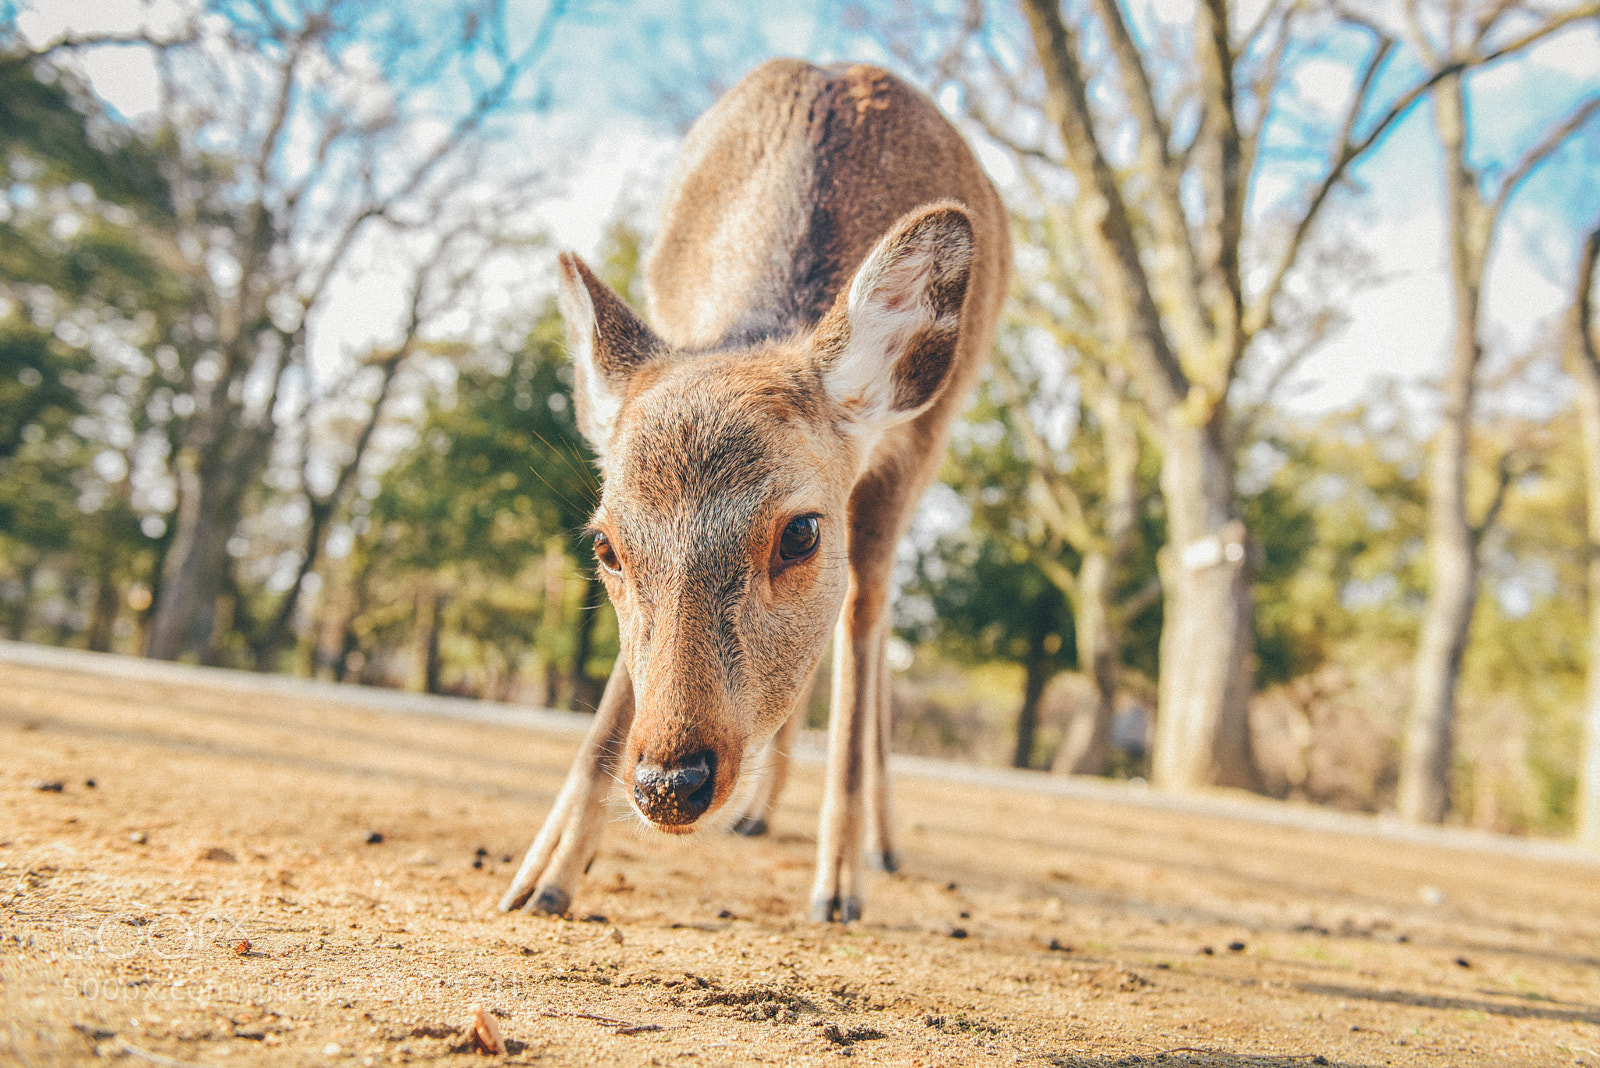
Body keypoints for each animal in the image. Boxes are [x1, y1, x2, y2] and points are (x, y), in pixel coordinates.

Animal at [499, 58, 1009, 923]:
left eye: (800, 532)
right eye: (605, 546)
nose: (669, 784)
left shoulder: (907, 455)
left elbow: (861, 631)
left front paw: (838, 888)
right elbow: (615, 693)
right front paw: (542, 875)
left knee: (869, 617)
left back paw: (878, 845)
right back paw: (763, 813)